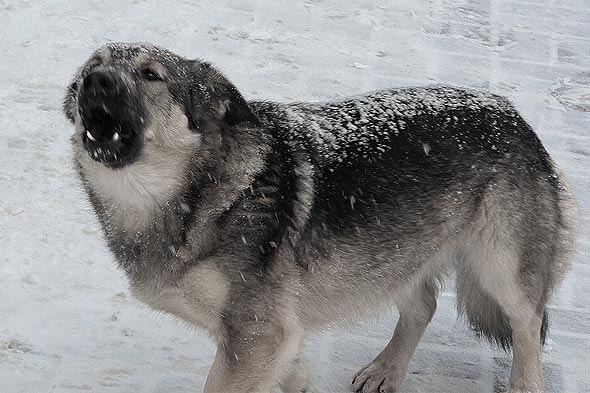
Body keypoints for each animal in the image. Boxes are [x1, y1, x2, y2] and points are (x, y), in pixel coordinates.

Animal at [62, 41, 580, 390]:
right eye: (93, 66)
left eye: (150, 74)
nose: (96, 81)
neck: (203, 195)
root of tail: (515, 116)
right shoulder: (277, 336)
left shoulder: (255, 338)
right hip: (394, 254)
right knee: (426, 304)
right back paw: (386, 370)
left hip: (500, 269)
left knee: (529, 324)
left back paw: (522, 385)